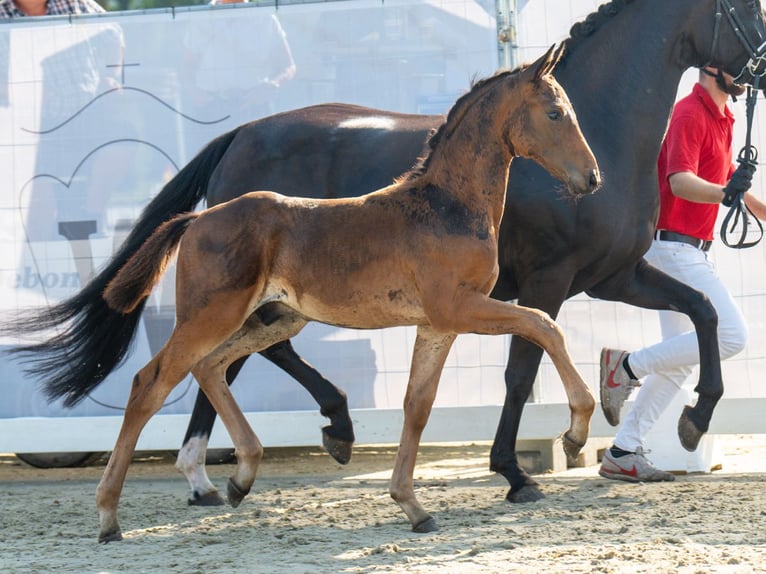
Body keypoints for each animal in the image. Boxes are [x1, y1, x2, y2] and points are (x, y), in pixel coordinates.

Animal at [54, 46, 604, 544]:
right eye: (555, 113)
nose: (592, 177)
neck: (446, 205)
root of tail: (197, 219)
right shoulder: (459, 309)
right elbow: (544, 326)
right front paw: (575, 433)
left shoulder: (435, 325)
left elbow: (417, 405)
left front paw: (413, 507)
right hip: (211, 314)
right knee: (151, 383)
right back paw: (109, 517)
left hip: (275, 317)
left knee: (210, 367)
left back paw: (241, 476)